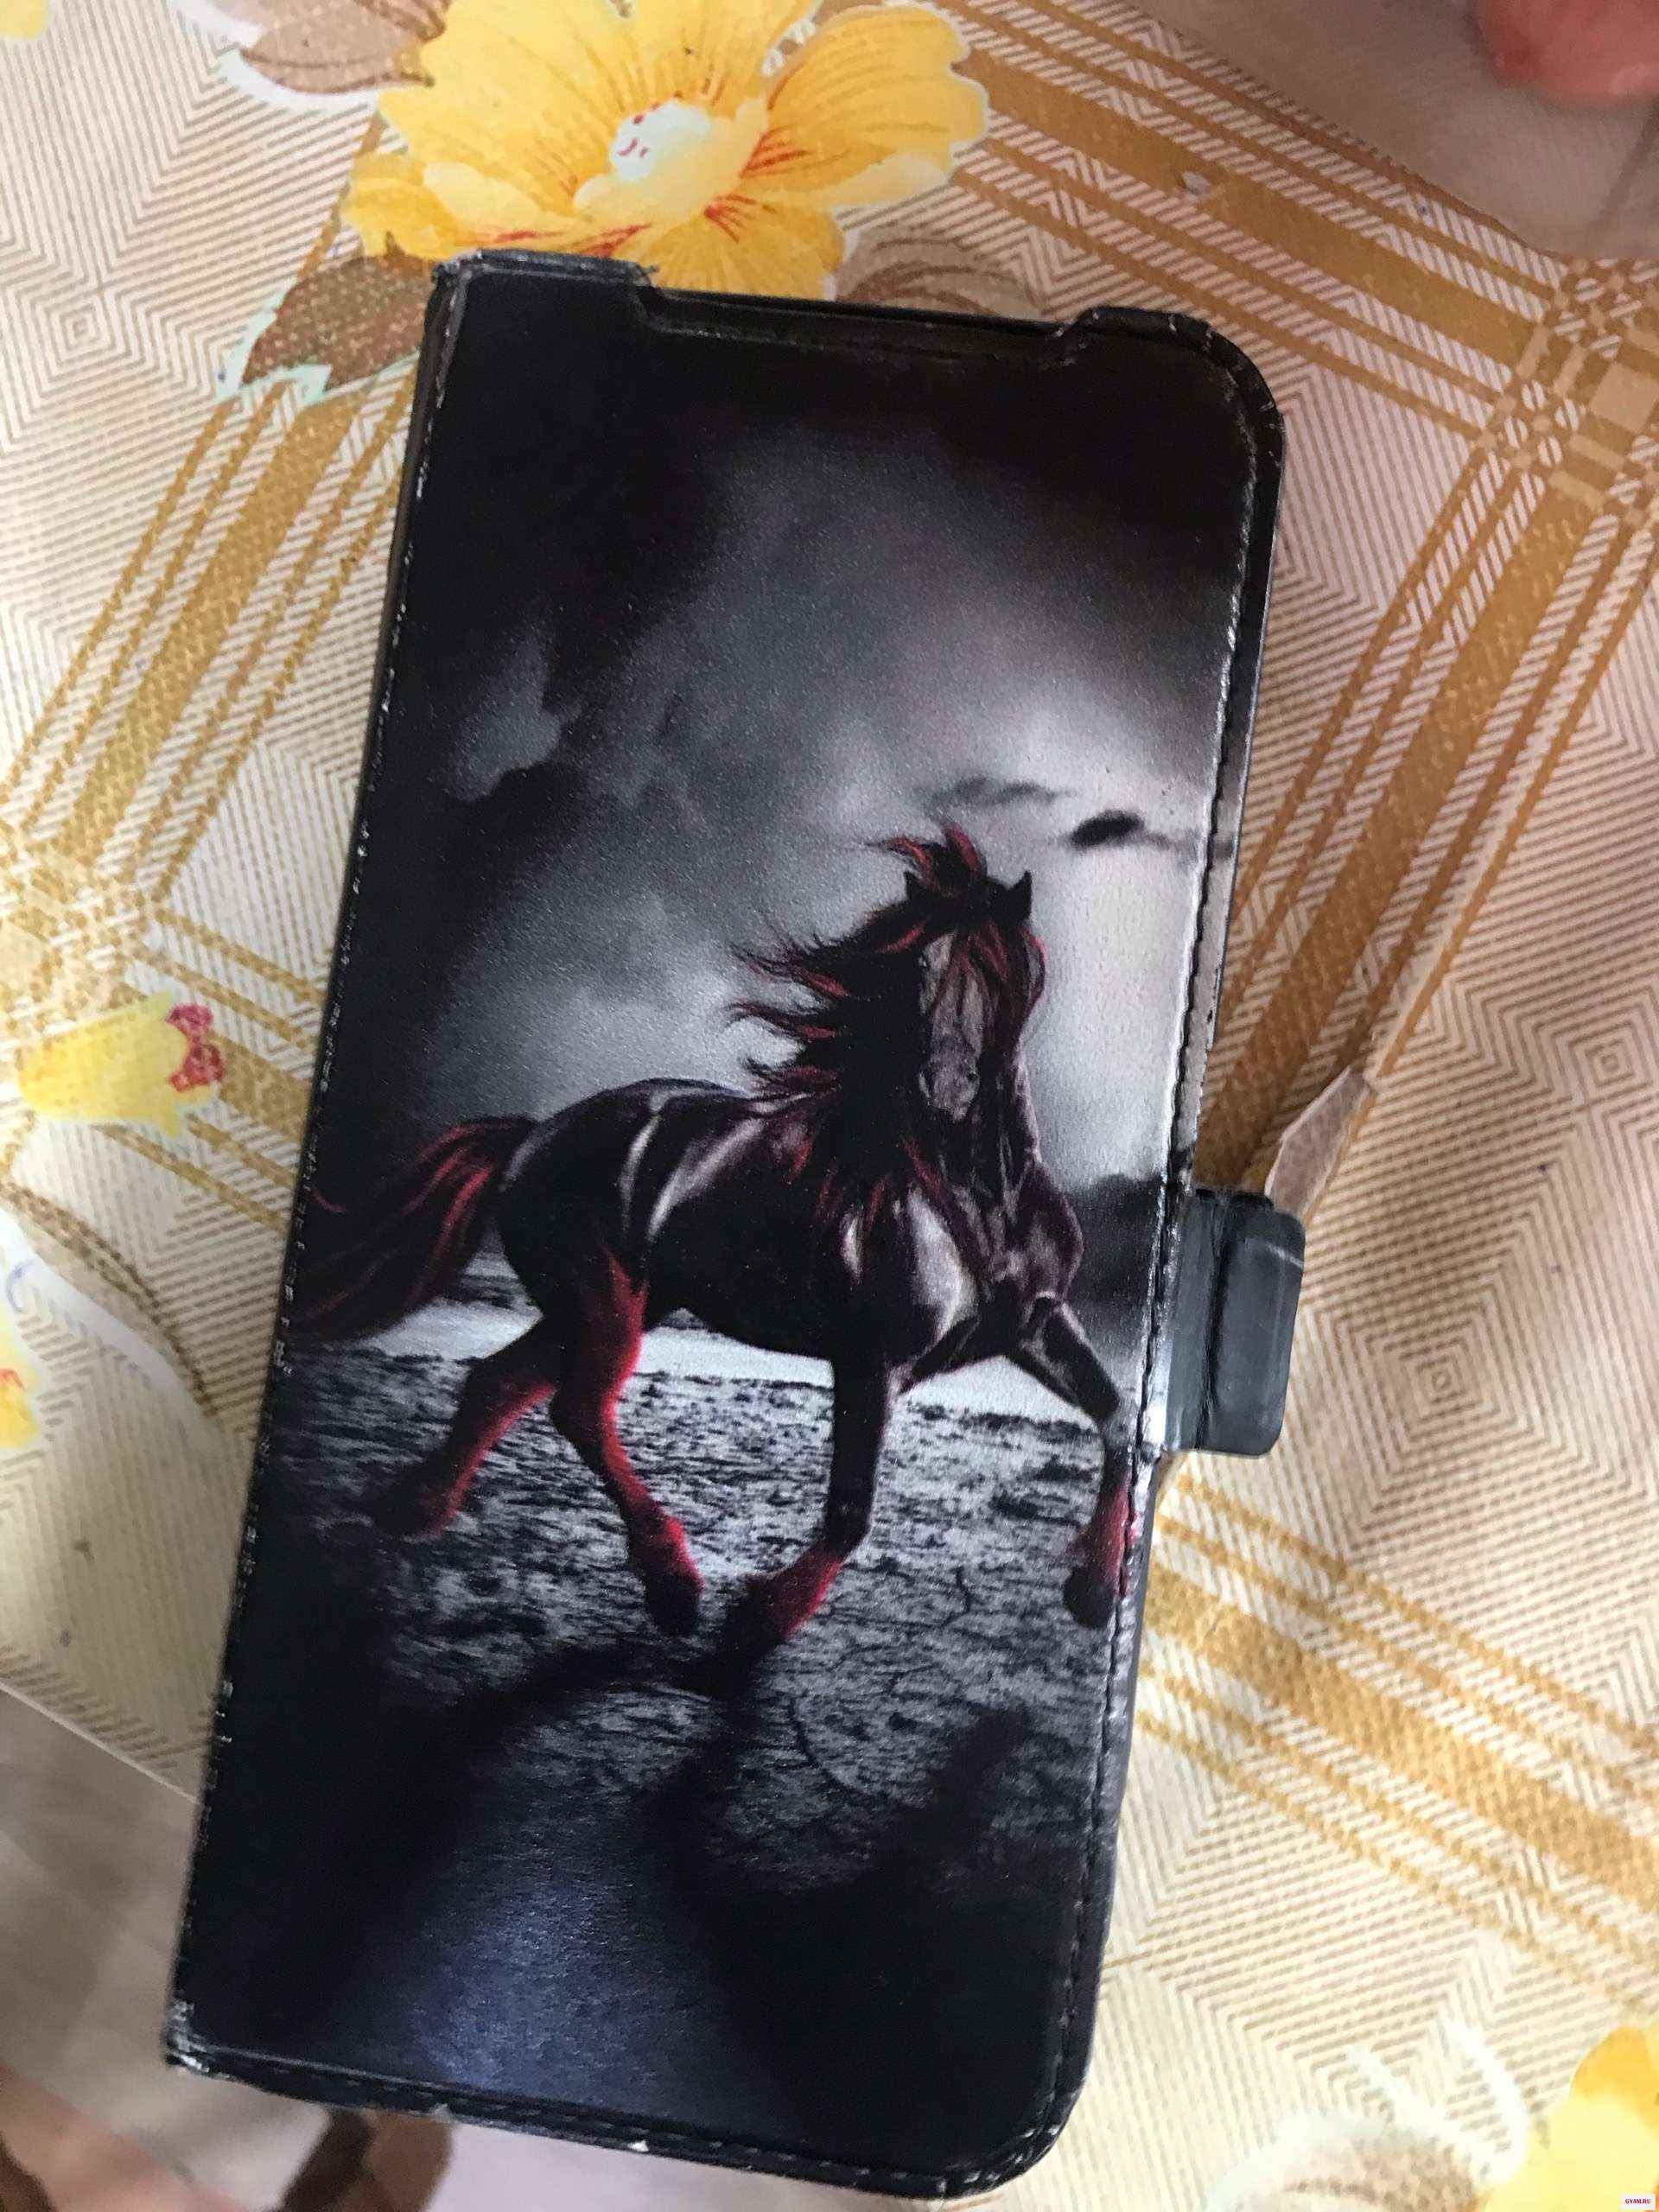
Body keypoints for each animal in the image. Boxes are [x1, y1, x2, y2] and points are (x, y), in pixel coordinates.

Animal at [292, 828, 1133, 1652]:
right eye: (922, 965)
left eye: (1000, 966)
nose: (948, 1090)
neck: (974, 1196)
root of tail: (534, 1136)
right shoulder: (872, 1363)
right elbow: (849, 1513)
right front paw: (760, 1620)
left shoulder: (1037, 1326)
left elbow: (1118, 1417)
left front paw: (1094, 1592)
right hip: (605, 1303)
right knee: (577, 1408)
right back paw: (674, 1586)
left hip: (613, 1305)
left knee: (500, 1382)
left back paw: (419, 1508)